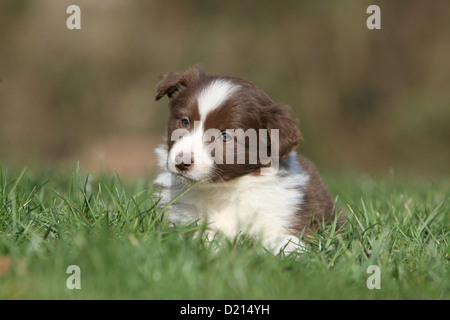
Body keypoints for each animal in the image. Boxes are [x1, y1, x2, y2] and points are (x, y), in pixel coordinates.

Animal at [153, 67, 340, 255]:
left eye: (225, 136)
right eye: (185, 122)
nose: (181, 163)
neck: (223, 189)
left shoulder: (284, 213)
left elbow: (286, 242)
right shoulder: (179, 217)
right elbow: (200, 235)